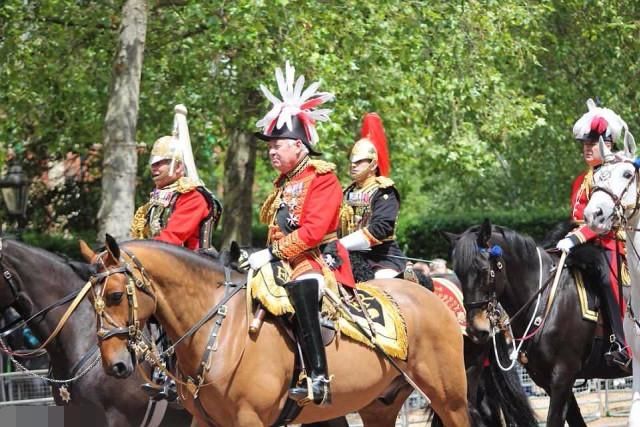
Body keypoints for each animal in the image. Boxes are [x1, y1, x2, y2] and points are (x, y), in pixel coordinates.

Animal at [81, 239, 470, 426]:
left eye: (115, 295)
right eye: (89, 300)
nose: (114, 366)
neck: (221, 329)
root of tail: (427, 289)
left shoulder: (250, 420)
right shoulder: (206, 422)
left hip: (450, 400)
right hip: (379, 407)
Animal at [452, 221, 628, 427]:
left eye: (484, 271)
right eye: (458, 273)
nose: (476, 330)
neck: (547, 299)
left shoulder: (562, 376)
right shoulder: (547, 380)